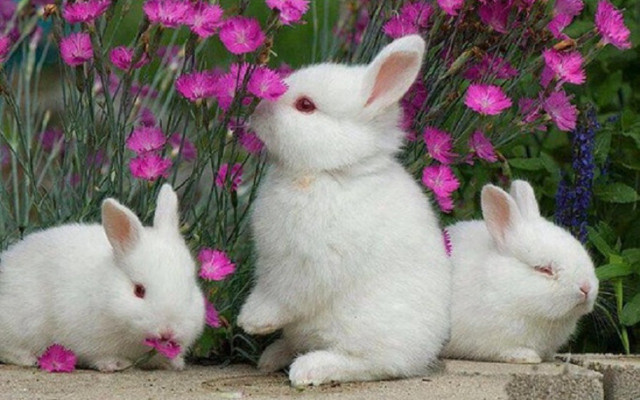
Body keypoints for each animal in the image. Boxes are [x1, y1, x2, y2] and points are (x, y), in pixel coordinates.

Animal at [0, 184, 205, 372]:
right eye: (139, 290)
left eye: (189, 291)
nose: (167, 331)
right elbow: (97, 356)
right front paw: (115, 364)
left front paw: (174, 363)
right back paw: (27, 358)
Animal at [237, 34, 451, 387]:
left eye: (306, 106)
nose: (256, 111)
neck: (330, 172)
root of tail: (425, 352)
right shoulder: (271, 260)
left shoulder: (307, 264)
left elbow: (283, 295)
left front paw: (252, 321)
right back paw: (273, 356)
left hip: (366, 330)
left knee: (371, 364)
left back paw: (309, 368)